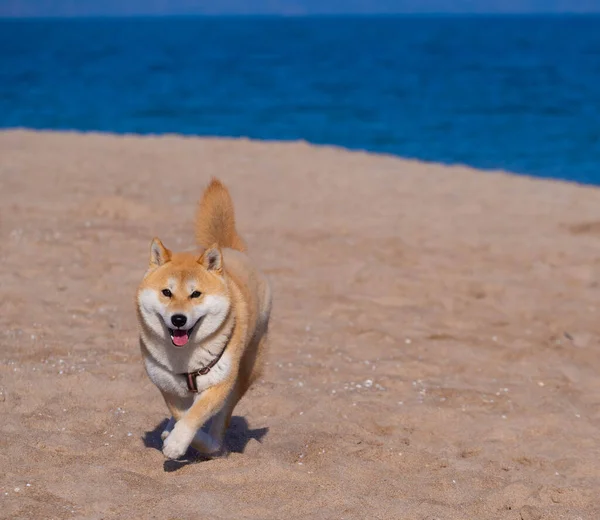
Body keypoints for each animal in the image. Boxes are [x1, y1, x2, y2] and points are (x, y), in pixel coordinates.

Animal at [136, 179, 272, 460]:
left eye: (195, 294)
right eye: (166, 292)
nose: (178, 319)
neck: (185, 358)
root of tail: (229, 248)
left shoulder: (219, 383)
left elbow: (197, 416)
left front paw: (181, 444)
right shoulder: (167, 386)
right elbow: (182, 413)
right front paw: (175, 435)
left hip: (245, 369)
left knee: (223, 417)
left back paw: (214, 445)